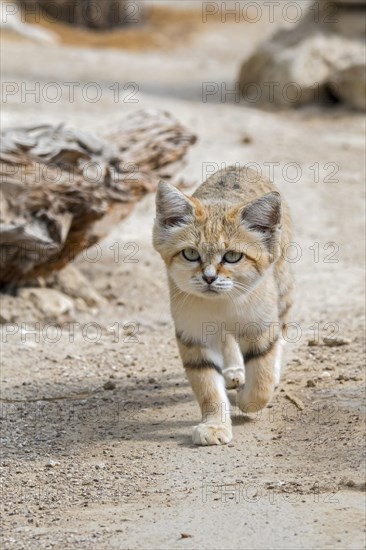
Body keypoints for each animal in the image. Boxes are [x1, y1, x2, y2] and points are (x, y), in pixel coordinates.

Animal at [153, 166, 294, 446]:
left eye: (232, 256)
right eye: (190, 254)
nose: (209, 277)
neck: (222, 304)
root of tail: (238, 167)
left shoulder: (260, 324)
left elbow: (261, 379)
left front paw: (245, 399)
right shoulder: (193, 335)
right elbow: (207, 387)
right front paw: (214, 426)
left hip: (283, 291)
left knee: (280, 336)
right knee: (228, 340)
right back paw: (234, 370)